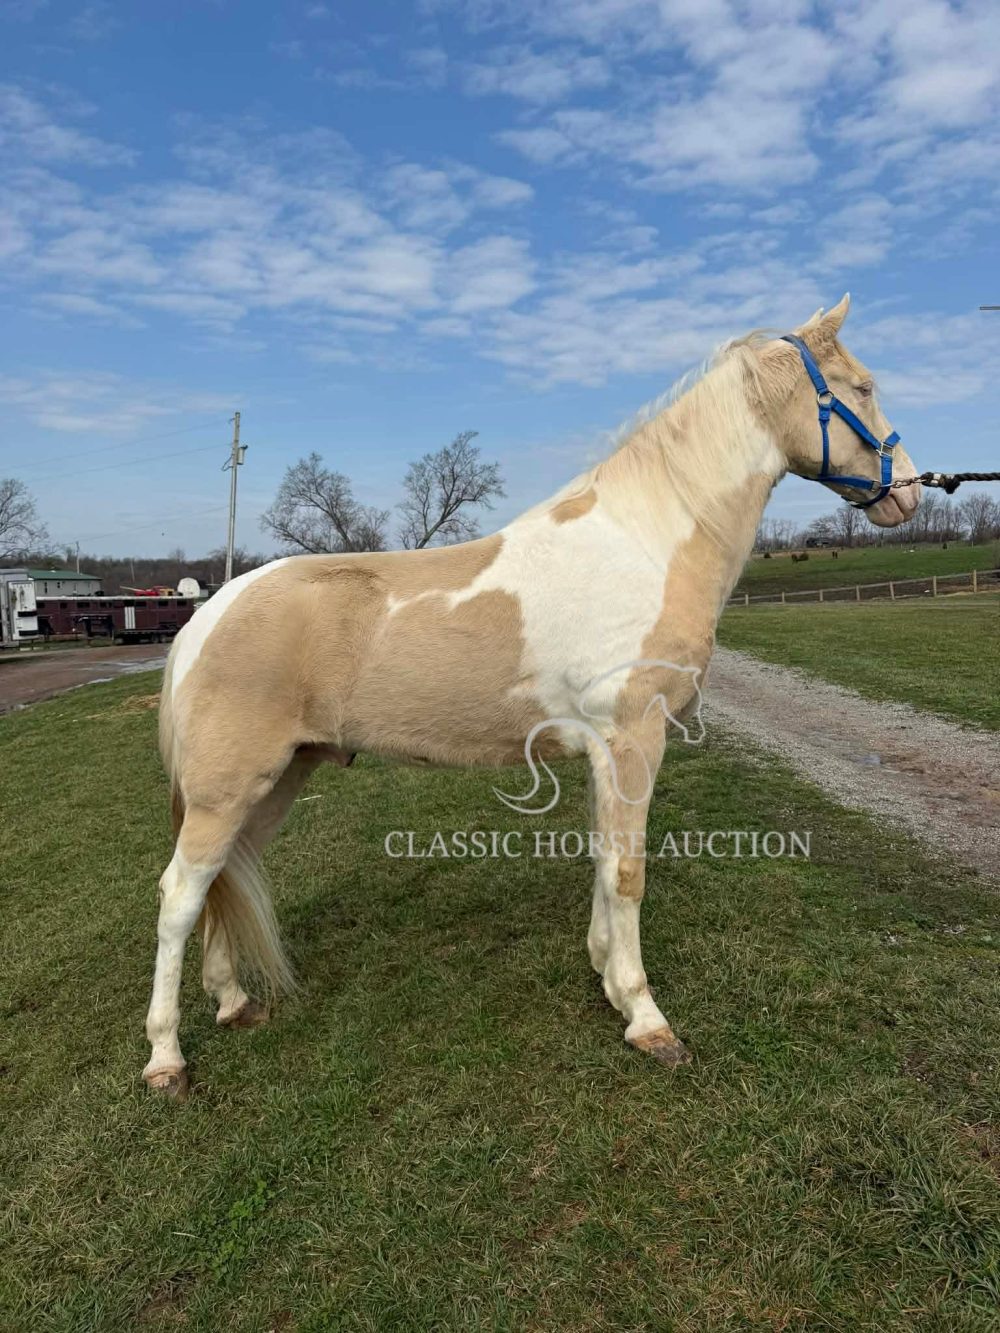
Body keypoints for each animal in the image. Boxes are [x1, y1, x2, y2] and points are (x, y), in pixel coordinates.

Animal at [143, 294, 921, 1098]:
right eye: (862, 388)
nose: (908, 490)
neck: (644, 540)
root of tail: (206, 615)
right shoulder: (634, 740)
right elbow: (628, 873)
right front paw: (647, 1019)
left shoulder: (604, 753)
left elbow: (604, 864)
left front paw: (607, 975)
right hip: (228, 790)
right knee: (179, 897)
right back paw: (166, 1058)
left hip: (274, 783)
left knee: (224, 879)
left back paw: (234, 1003)